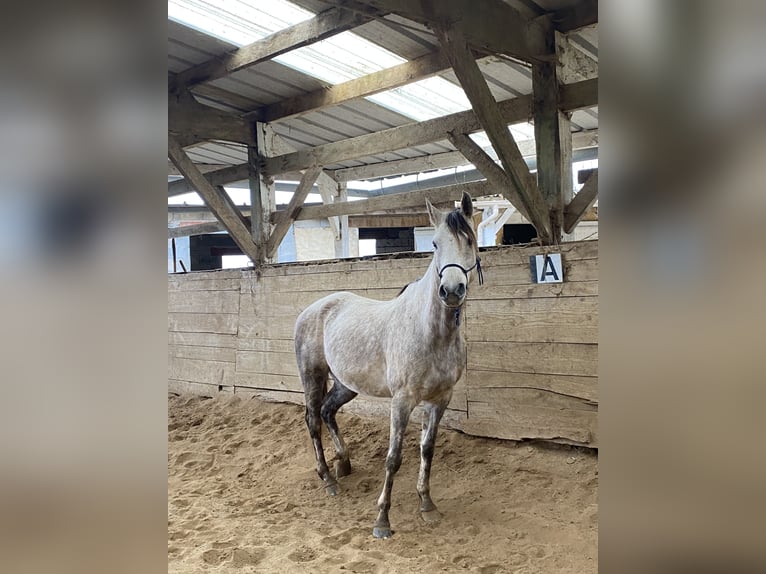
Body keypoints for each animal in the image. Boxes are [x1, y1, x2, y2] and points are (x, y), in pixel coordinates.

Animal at [294, 191, 483, 539]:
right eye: (435, 243)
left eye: (470, 240)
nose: (451, 291)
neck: (429, 331)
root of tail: (312, 309)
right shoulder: (402, 401)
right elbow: (393, 458)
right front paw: (382, 520)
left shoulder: (440, 399)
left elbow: (427, 449)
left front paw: (427, 505)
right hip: (312, 376)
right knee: (313, 420)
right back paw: (327, 478)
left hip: (346, 385)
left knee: (328, 411)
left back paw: (344, 462)